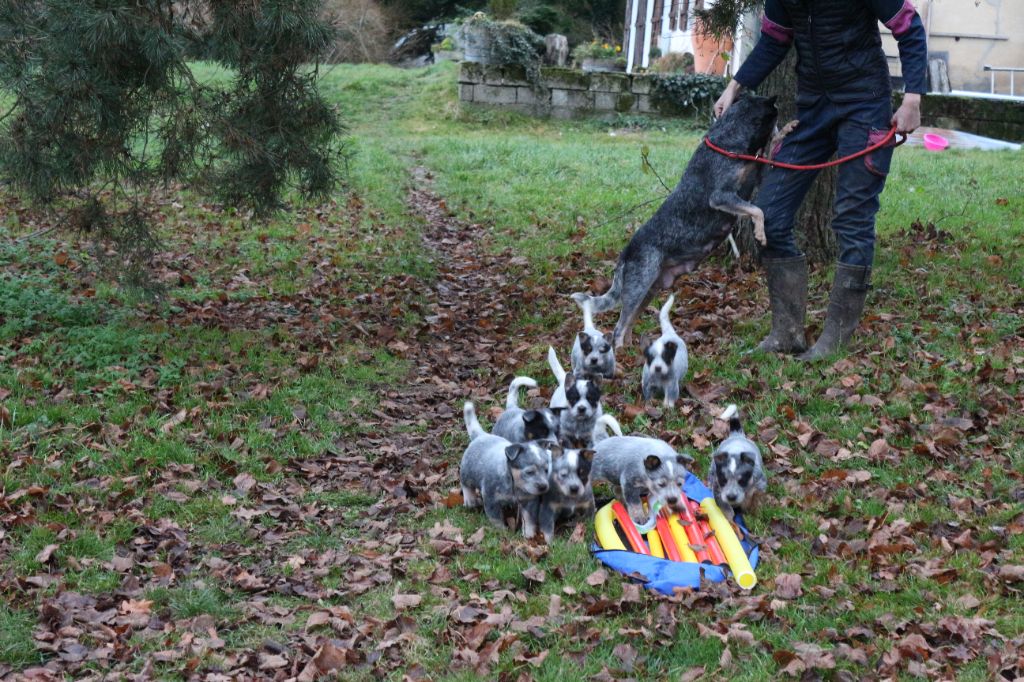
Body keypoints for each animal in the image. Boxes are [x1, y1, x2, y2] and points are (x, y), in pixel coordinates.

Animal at [462, 399, 557, 536]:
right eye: (529, 472)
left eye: (546, 470)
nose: (543, 486)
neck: (514, 485)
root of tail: (481, 435)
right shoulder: (490, 498)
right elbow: (496, 519)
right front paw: (502, 532)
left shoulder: (529, 501)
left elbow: (529, 519)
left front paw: (529, 534)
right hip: (466, 471)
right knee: (465, 484)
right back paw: (470, 500)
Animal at [573, 93, 778, 348]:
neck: (726, 144)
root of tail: (625, 255)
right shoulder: (722, 196)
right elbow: (757, 211)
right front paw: (761, 233)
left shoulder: (749, 181)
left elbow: (763, 170)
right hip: (638, 286)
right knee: (618, 328)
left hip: (649, 290)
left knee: (629, 324)